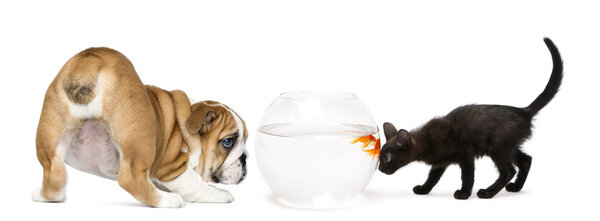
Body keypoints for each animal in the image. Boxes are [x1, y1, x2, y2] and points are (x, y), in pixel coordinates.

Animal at [32, 47, 248, 207]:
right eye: (228, 142)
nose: (245, 159)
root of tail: (90, 61)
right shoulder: (173, 167)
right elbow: (196, 185)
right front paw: (220, 194)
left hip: (52, 135)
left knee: (54, 173)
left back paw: (44, 195)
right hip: (139, 137)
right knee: (131, 178)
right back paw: (168, 200)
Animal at [380, 38, 564, 200]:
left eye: (387, 158)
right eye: (380, 157)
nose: (380, 169)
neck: (426, 142)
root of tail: (523, 111)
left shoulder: (466, 153)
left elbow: (467, 175)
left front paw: (464, 194)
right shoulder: (440, 162)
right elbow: (433, 177)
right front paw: (424, 189)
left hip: (497, 147)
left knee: (509, 171)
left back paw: (488, 193)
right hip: (509, 146)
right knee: (526, 160)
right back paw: (516, 187)